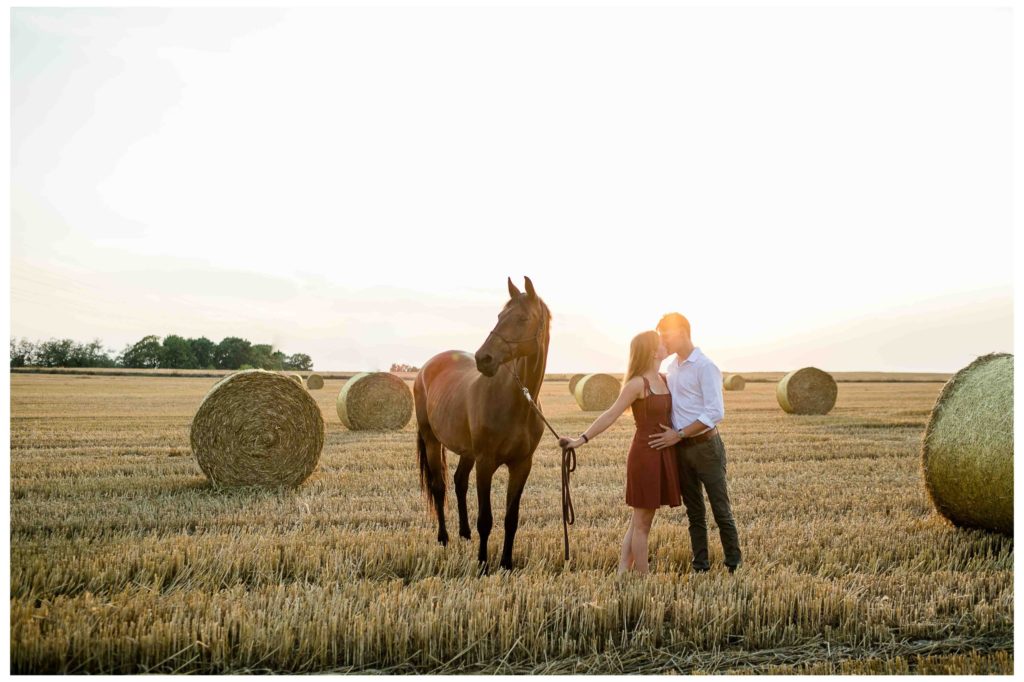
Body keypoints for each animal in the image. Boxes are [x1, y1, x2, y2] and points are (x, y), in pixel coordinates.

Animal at [413, 274, 552, 569]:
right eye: (499, 315)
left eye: (523, 318)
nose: (483, 359)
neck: (516, 401)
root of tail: (426, 368)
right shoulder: (486, 462)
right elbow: (486, 519)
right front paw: (483, 564)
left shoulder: (522, 465)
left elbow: (511, 519)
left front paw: (506, 563)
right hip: (432, 440)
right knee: (439, 487)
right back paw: (444, 538)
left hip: (468, 452)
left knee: (458, 481)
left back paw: (464, 533)